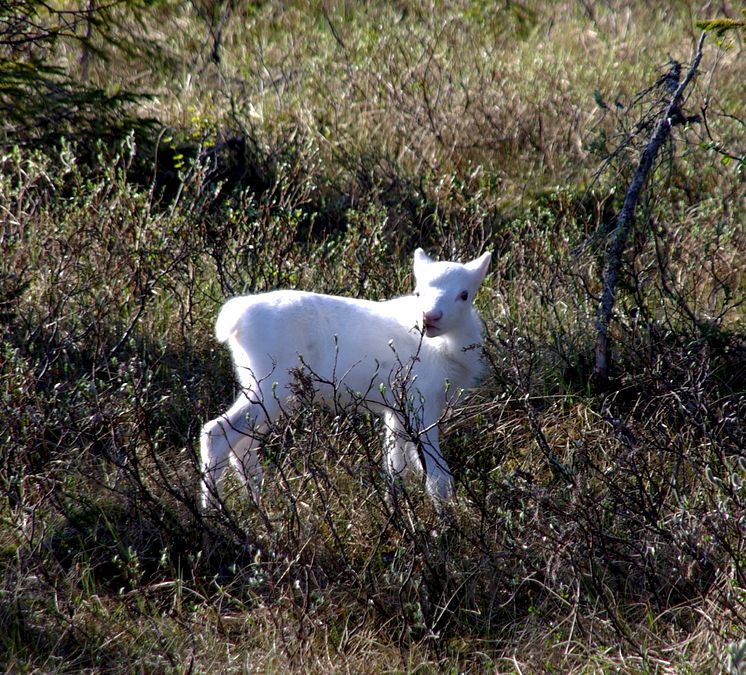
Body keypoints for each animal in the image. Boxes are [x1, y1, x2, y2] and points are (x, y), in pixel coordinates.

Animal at [199, 251, 488, 510]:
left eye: (464, 294)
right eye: (418, 292)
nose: (430, 317)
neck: (447, 347)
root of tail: (234, 320)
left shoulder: (396, 409)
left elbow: (395, 465)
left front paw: (399, 509)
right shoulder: (422, 402)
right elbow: (437, 474)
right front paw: (447, 517)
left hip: (265, 390)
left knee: (243, 444)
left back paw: (258, 504)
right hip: (270, 387)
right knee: (216, 432)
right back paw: (214, 510)